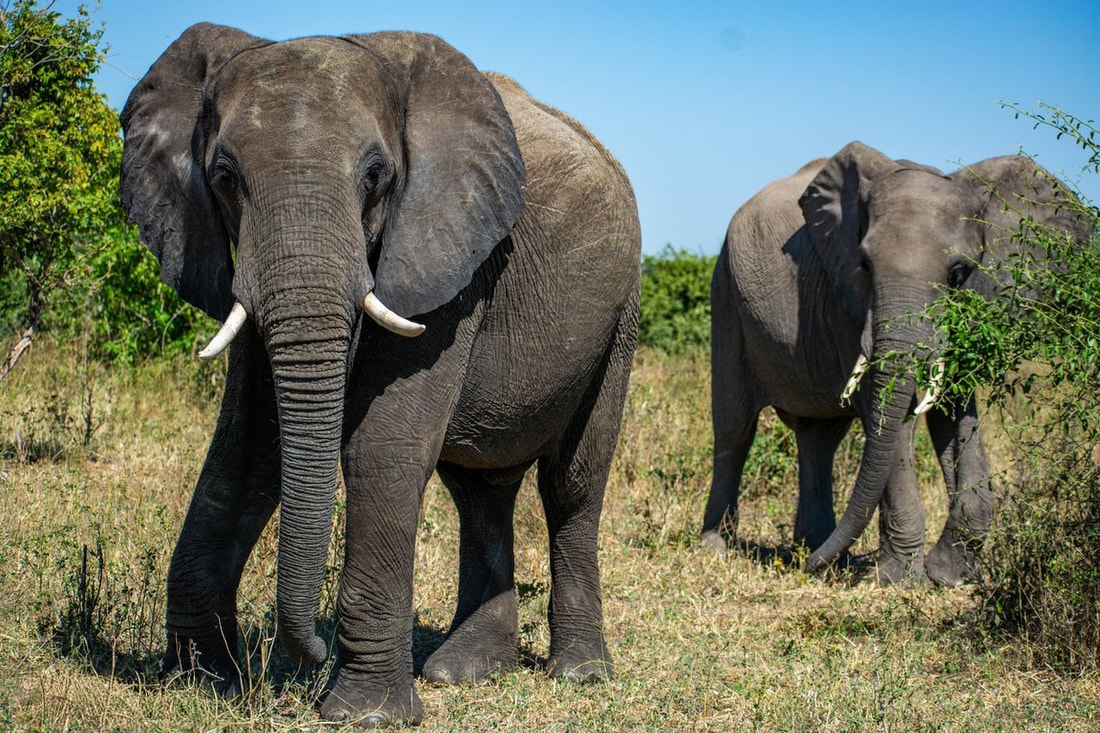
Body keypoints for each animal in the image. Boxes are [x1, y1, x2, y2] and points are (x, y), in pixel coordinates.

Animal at [119, 23, 640, 727]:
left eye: (376, 177)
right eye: (224, 177)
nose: (307, 652)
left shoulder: (446, 253)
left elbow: (383, 447)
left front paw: (364, 716)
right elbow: (248, 447)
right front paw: (201, 681)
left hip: (620, 313)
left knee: (572, 482)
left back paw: (579, 674)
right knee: (480, 489)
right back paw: (466, 671)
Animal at [702, 142, 1088, 586]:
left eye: (959, 272)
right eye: (865, 266)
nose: (807, 568)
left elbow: (953, 410)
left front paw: (949, 575)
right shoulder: (845, 299)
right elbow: (886, 414)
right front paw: (897, 578)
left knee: (819, 439)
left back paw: (821, 550)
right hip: (726, 295)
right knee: (735, 429)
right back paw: (722, 549)